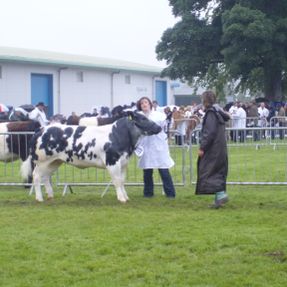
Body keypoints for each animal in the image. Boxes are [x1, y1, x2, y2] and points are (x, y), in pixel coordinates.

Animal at [21, 111, 162, 204]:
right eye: (143, 118)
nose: (159, 127)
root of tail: (41, 129)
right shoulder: (112, 161)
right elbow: (117, 181)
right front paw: (121, 198)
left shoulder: (123, 162)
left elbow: (122, 181)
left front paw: (126, 197)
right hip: (42, 161)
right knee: (36, 176)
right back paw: (39, 198)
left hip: (55, 161)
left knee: (46, 177)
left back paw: (50, 196)